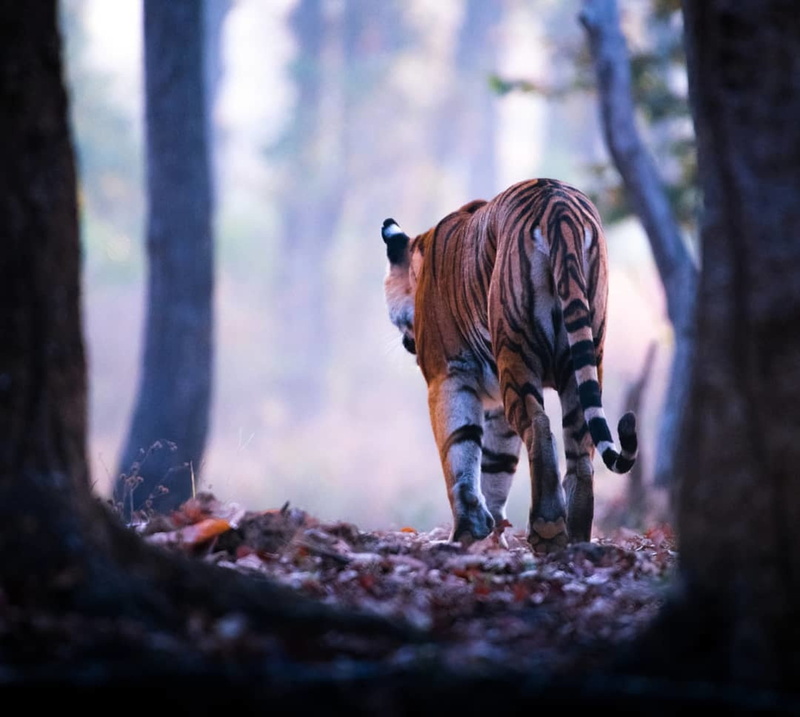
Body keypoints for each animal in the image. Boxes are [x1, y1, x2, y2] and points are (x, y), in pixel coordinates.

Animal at [381, 178, 637, 554]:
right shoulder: (495, 403)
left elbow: (459, 449)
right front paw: (490, 537)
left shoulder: (448, 376)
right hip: (584, 355)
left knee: (538, 424)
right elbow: (496, 464)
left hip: (515, 351)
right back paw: (575, 535)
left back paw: (548, 527)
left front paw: (466, 533)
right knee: (580, 446)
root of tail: (558, 206)